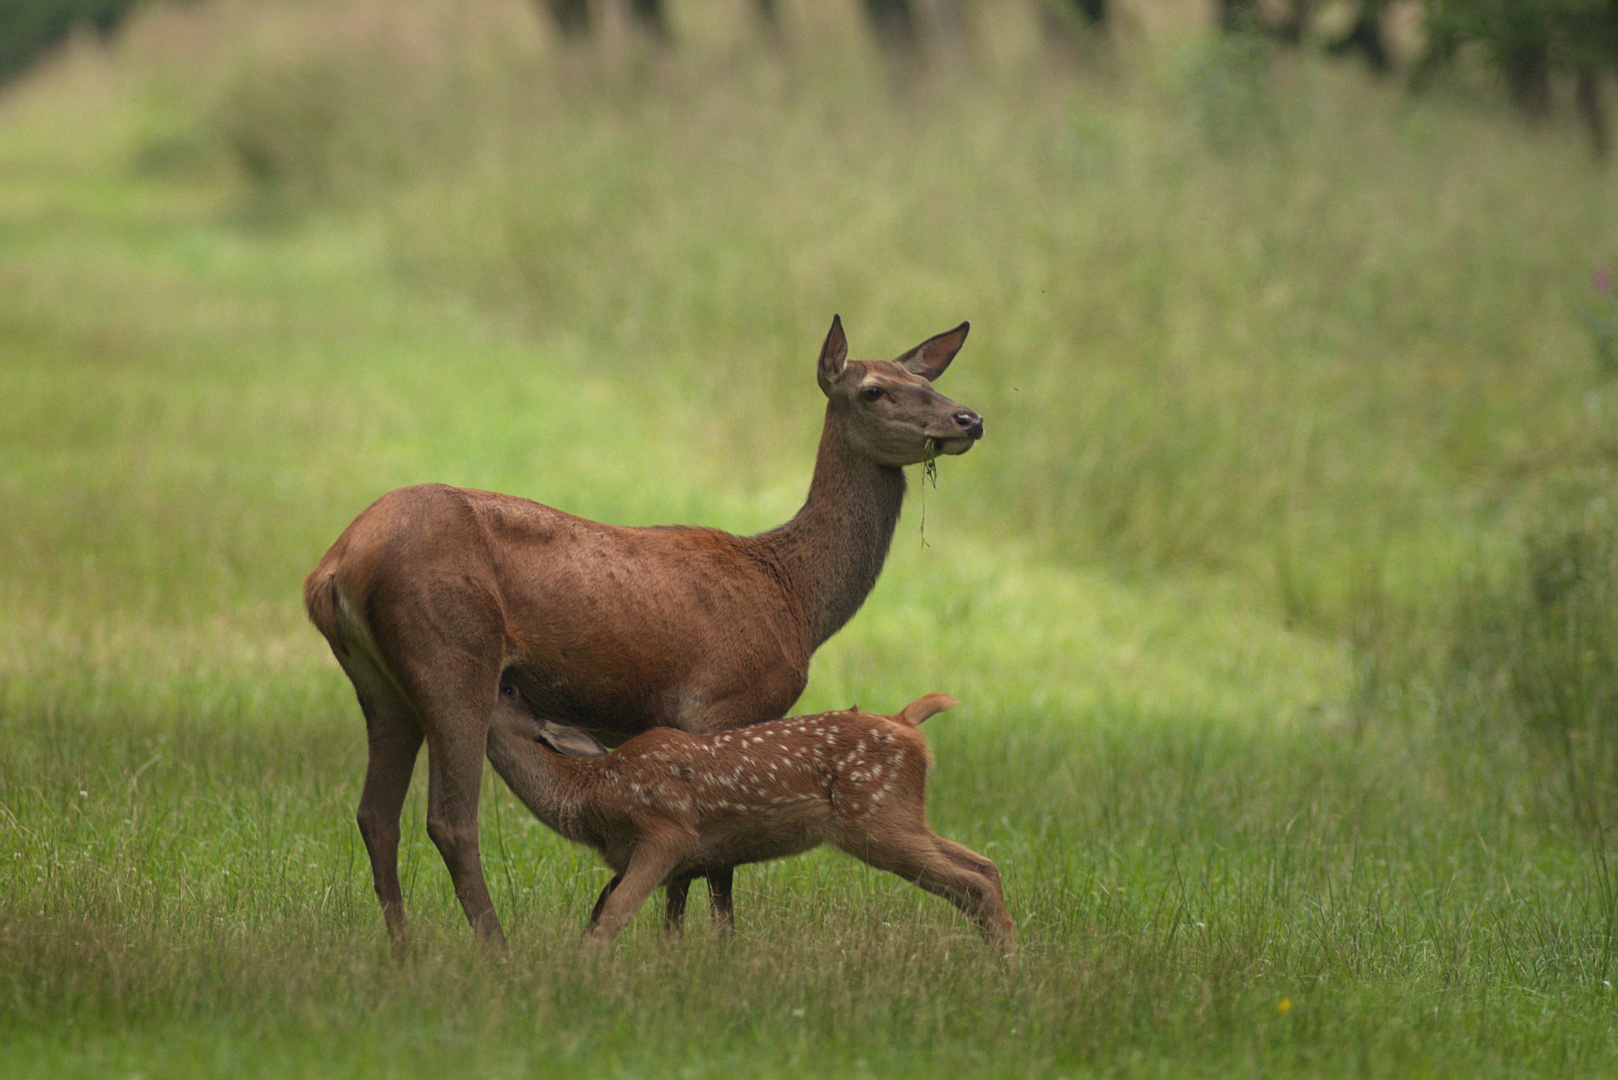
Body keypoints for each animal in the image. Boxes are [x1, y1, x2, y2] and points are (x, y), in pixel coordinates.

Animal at [305, 317, 983, 952]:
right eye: (874, 390)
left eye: (928, 381)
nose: (969, 417)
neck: (796, 597)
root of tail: (335, 565)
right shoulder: (725, 701)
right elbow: (715, 864)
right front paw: (709, 949)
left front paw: (674, 944)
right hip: (453, 652)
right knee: (449, 819)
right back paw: (496, 949)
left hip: (380, 685)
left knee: (376, 814)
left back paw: (404, 949)